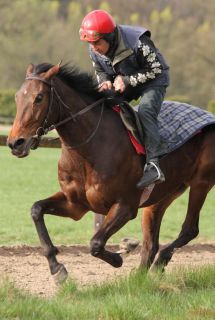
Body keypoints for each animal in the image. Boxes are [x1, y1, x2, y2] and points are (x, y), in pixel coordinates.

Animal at [7, 62, 215, 282]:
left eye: (39, 97)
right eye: (17, 97)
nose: (15, 143)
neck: (89, 150)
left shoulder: (125, 206)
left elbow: (96, 243)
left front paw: (120, 256)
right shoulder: (75, 205)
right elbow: (36, 209)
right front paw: (56, 268)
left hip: (201, 183)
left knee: (189, 229)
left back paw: (161, 261)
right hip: (164, 194)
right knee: (151, 243)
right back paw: (139, 277)